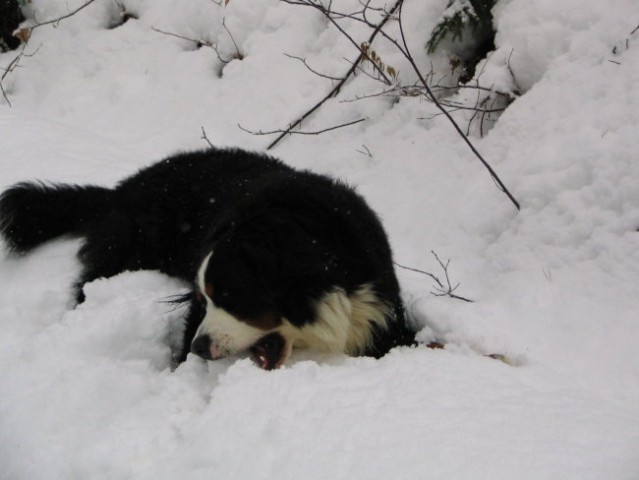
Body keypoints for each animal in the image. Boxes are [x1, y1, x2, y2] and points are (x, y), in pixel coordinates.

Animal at [0, 148, 416, 370]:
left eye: (231, 296)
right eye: (205, 298)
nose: (201, 348)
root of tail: (122, 188)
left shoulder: (378, 310)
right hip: (126, 253)